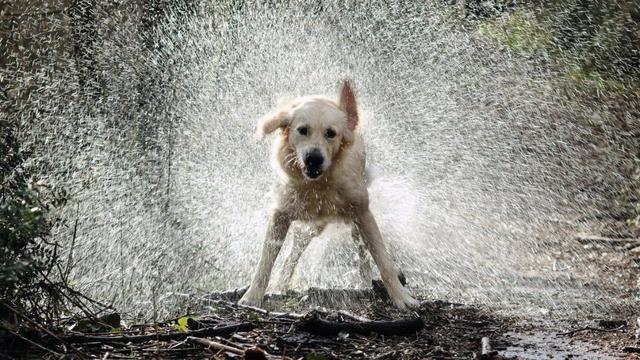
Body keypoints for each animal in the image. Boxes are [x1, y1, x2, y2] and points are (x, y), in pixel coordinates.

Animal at [240, 79, 420, 310]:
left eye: (331, 133)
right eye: (302, 130)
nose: (313, 158)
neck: (318, 185)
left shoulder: (363, 214)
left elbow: (382, 259)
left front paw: (401, 297)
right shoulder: (280, 214)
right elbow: (265, 261)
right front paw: (252, 296)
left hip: (352, 224)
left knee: (362, 253)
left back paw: (365, 283)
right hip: (309, 227)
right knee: (292, 254)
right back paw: (280, 285)